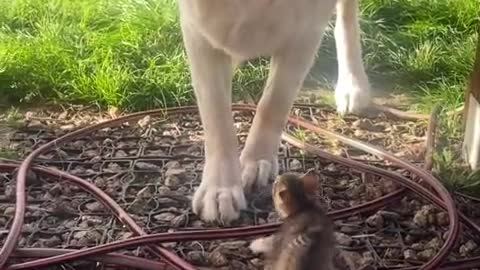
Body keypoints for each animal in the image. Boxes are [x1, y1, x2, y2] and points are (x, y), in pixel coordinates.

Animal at [178, 0, 370, 223]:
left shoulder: (306, 30)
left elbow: (273, 101)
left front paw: (257, 161)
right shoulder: (198, 26)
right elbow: (217, 115)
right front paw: (219, 190)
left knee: (347, 16)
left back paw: (353, 84)